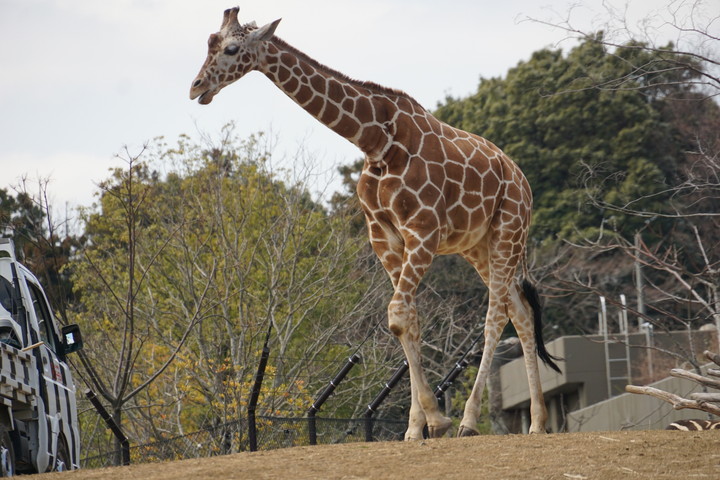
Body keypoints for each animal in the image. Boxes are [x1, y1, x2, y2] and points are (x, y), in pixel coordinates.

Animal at [190, 6, 564, 438]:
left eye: (231, 49)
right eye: (209, 43)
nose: (196, 87)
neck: (374, 140)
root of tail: (521, 178)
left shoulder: (423, 231)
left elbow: (398, 315)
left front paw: (437, 419)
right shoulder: (383, 235)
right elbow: (409, 320)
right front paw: (415, 428)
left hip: (509, 229)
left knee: (496, 313)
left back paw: (471, 421)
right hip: (477, 245)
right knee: (519, 311)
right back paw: (537, 423)